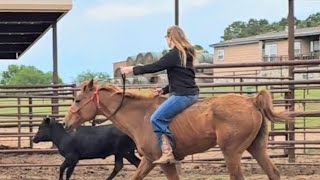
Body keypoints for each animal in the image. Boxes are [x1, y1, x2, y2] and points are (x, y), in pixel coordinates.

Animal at [63, 80, 288, 180]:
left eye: (78, 100)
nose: (66, 122)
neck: (140, 116)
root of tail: (252, 101)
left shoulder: (161, 161)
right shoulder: (148, 160)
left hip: (231, 152)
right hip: (256, 147)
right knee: (274, 173)